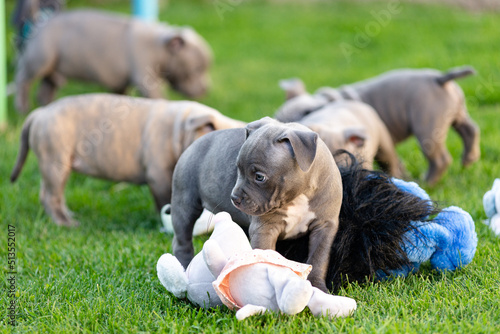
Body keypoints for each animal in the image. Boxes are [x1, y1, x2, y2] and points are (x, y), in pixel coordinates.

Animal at [10, 92, 246, 226]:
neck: (182, 128)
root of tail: (39, 113)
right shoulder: (159, 175)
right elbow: (165, 200)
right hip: (55, 161)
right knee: (50, 195)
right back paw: (65, 223)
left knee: (53, 194)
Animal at [14, 9, 212, 113]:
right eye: (196, 70)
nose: (205, 90)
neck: (160, 46)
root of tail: (39, 23)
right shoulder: (146, 80)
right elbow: (158, 97)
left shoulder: (120, 83)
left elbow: (119, 96)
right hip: (39, 60)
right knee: (23, 81)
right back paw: (22, 108)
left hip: (54, 69)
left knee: (46, 89)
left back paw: (47, 108)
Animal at [170, 117, 342, 292]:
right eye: (238, 169)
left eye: (260, 177)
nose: (234, 198)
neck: (298, 196)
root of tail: (193, 144)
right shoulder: (264, 230)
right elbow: (265, 256)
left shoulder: (324, 227)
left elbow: (318, 258)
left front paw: (318, 286)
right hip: (184, 204)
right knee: (182, 239)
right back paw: (183, 269)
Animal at [278, 66, 480, 184]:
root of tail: (440, 79)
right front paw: (403, 176)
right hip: (457, 113)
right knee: (471, 130)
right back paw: (469, 158)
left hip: (427, 127)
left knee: (440, 158)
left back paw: (427, 182)